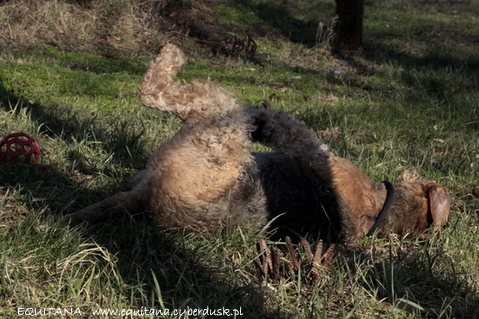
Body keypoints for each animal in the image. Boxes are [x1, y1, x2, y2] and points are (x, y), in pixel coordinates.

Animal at [65, 43, 452, 242]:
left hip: (217, 121)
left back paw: (170, 54)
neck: (383, 206)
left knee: (156, 93)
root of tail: (147, 199)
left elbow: (298, 133)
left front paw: (268, 121)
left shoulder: (317, 154)